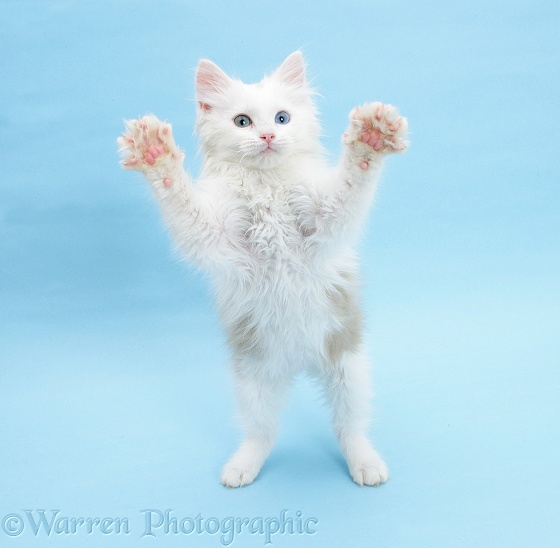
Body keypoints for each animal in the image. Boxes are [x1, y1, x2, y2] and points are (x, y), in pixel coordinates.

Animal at [118, 52, 406, 488]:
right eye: (242, 122)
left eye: (282, 118)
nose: (269, 136)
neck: (266, 185)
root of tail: (298, 364)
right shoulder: (215, 233)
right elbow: (179, 197)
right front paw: (155, 153)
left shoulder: (325, 222)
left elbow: (352, 183)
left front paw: (370, 138)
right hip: (252, 378)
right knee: (263, 432)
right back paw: (242, 467)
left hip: (348, 367)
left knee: (348, 426)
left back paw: (366, 464)